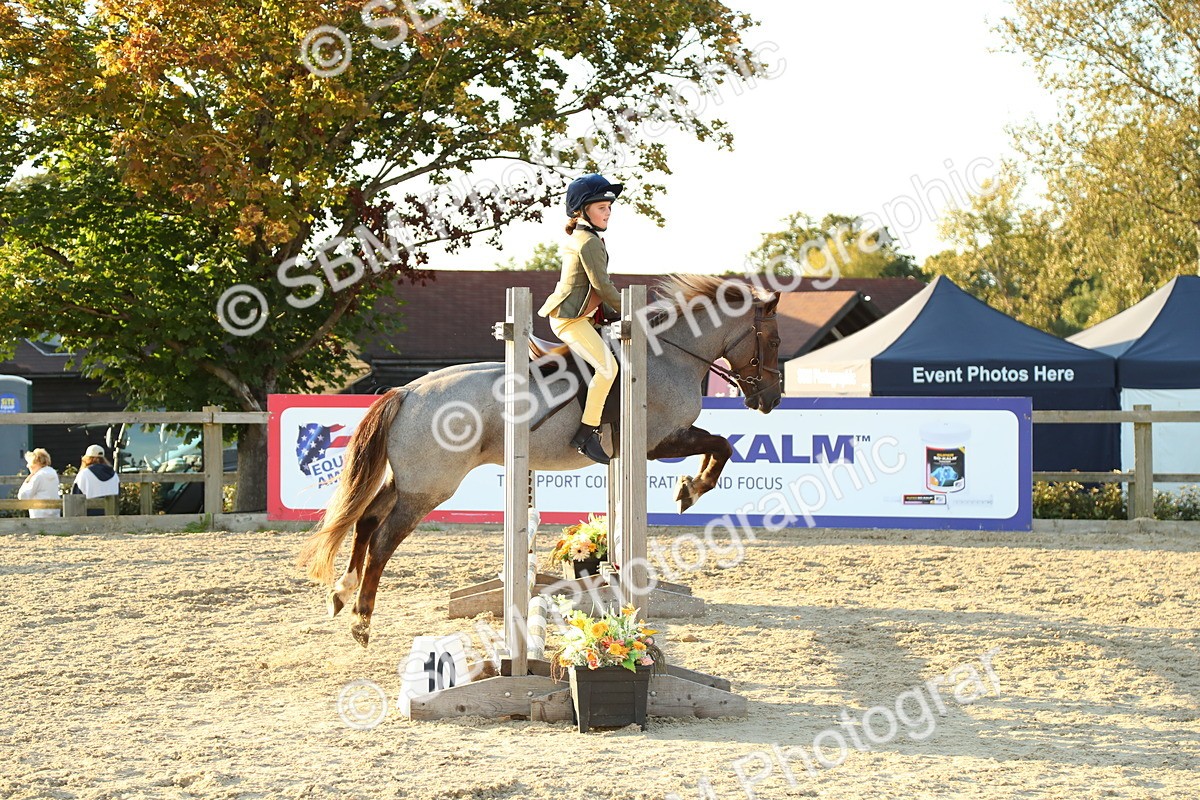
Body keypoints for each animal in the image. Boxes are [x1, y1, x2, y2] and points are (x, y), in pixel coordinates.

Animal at [298, 274, 783, 646]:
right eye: (775, 340)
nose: (771, 399)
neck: (670, 354)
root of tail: (408, 391)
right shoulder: (659, 441)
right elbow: (722, 445)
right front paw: (690, 490)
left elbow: (720, 445)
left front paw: (688, 488)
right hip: (430, 488)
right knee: (382, 540)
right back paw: (361, 621)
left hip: (409, 482)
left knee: (365, 520)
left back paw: (341, 594)